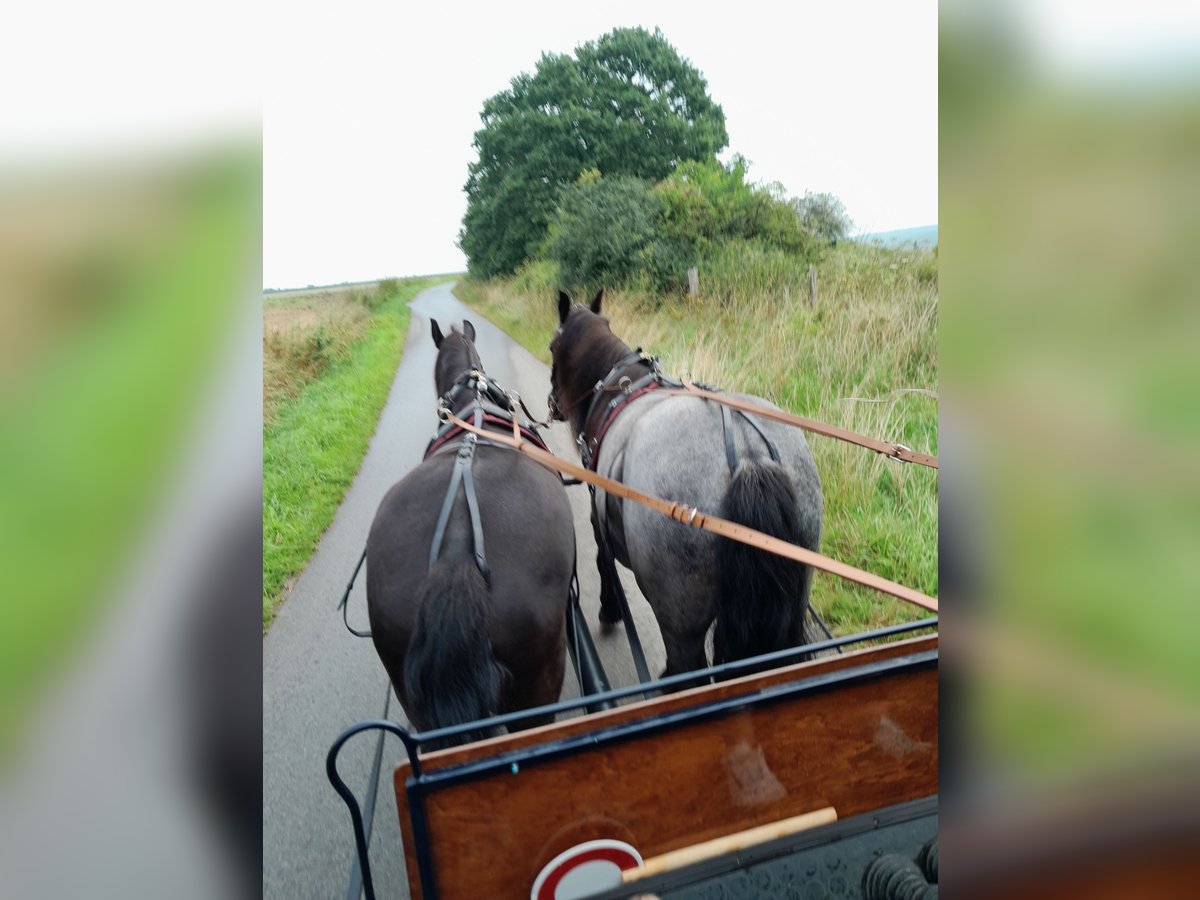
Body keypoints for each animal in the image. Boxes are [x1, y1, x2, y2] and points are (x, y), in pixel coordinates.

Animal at [548, 291, 824, 677]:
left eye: (551, 347)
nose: (553, 404)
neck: (621, 387)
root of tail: (748, 455)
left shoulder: (596, 515)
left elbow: (604, 562)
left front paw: (608, 610)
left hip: (681, 622)